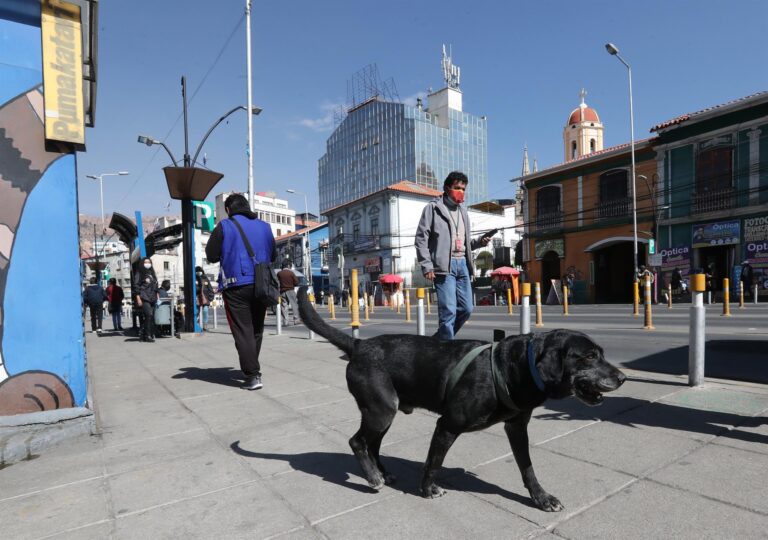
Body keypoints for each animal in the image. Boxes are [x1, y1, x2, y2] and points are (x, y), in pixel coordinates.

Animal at [296, 286, 628, 510]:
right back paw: (373, 478)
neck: (517, 366)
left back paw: (382, 473)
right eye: (589, 356)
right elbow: (434, 461)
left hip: (383, 412)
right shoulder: (447, 425)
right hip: (381, 409)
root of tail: (359, 345)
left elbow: (527, 467)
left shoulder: (516, 427)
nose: (623, 377)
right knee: (357, 441)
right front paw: (428, 489)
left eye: (601, 353)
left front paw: (541, 497)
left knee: (371, 443)